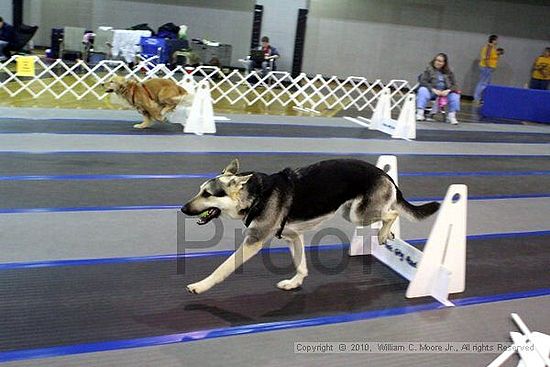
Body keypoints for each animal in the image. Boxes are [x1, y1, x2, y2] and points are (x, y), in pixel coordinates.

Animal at [183, 160, 442, 294]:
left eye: (207, 194)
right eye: (199, 190)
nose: (183, 208)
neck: (255, 196)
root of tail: (386, 175)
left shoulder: (253, 242)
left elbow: (223, 268)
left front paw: (200, 285)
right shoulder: (292, 237)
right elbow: (301, 265)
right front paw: (295, 283)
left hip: (358, 214)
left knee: (393, 212)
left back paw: (383, 233)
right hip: (351, 213)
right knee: (389, 213)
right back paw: (387, 233)